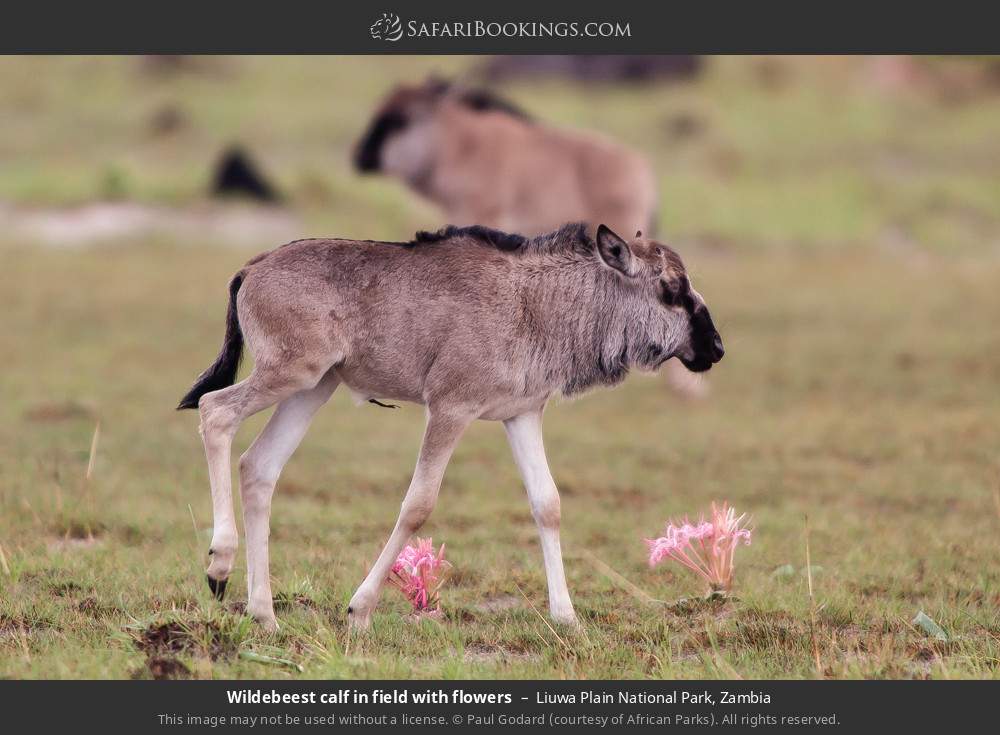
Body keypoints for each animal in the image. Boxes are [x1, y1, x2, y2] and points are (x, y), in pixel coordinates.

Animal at [178, 222, 723, 631]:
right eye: (670, 289)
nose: (716, 348)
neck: (536, 303)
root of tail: (252, 267)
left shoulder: (522, 414)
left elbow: (547, 504)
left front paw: (566, 616)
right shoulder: (449, 408)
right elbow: (418, 505)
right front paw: (360, 609)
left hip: (313, 388)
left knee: (259, 466)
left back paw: (263, 613)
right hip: (290, 373)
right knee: (214, 410)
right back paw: (219, 563)